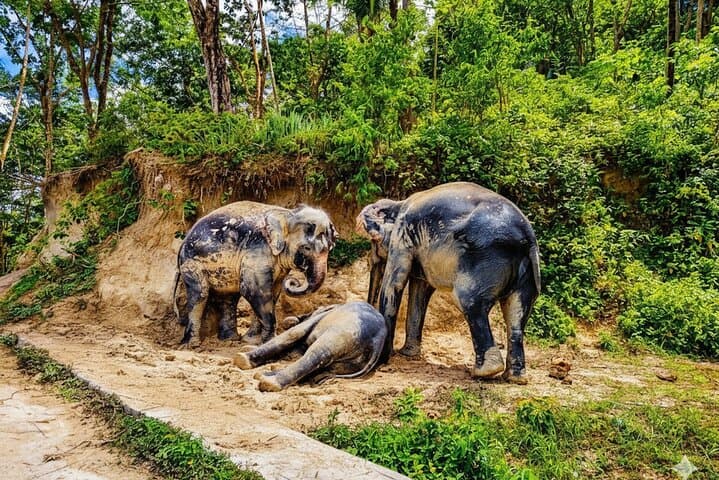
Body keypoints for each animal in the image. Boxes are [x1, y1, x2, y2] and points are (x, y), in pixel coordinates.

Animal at [173, 201, 336, 346]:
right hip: (192, 263)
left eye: (330, 248)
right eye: (306, 248)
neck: (287, 214)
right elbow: (254, 290)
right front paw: (268, 341)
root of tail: (182, 244)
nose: (293, 281)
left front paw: (251, 341)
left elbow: (272, 292)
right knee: (200, 293)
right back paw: (192, 345)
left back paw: (230, 340)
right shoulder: (257, 249)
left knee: (229, 297)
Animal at [233, 301, 387, 392]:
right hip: (353, 361)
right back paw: (264, 374)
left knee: (318, 354)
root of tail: (378, 341)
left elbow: (294, 333)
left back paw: (267, 382)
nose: (295, 318)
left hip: (345, 332)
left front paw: (242, 357)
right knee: (322, 368)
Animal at [356, 182, 541, 384]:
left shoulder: (402, 236)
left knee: (470, 303)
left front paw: (384, 360)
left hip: (484, 260)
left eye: (373, 242)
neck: (398, 203)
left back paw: (482, 373)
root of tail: (528, 236)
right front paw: (407, 354)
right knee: (516, 315)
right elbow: (420, 291)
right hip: (528, 272)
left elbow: (395, 284)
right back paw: (514, 378)